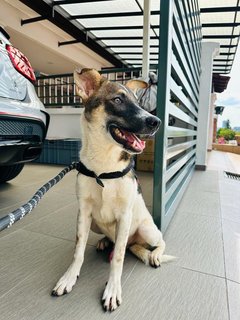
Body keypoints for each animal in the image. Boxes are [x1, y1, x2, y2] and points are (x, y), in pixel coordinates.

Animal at [51, 69, 172, 312]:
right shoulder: (84, 212)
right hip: (96, 225)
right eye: (117, 100)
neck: (103, 169)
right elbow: (78, 250)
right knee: (117, 243)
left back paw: (154, 255)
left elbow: (118, 259)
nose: (156, 121)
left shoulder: (125, 216)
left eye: (138, 103)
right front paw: (69, 278)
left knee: (157, 242)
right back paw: (105, 242)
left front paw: (113, 290)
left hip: (146, 229)